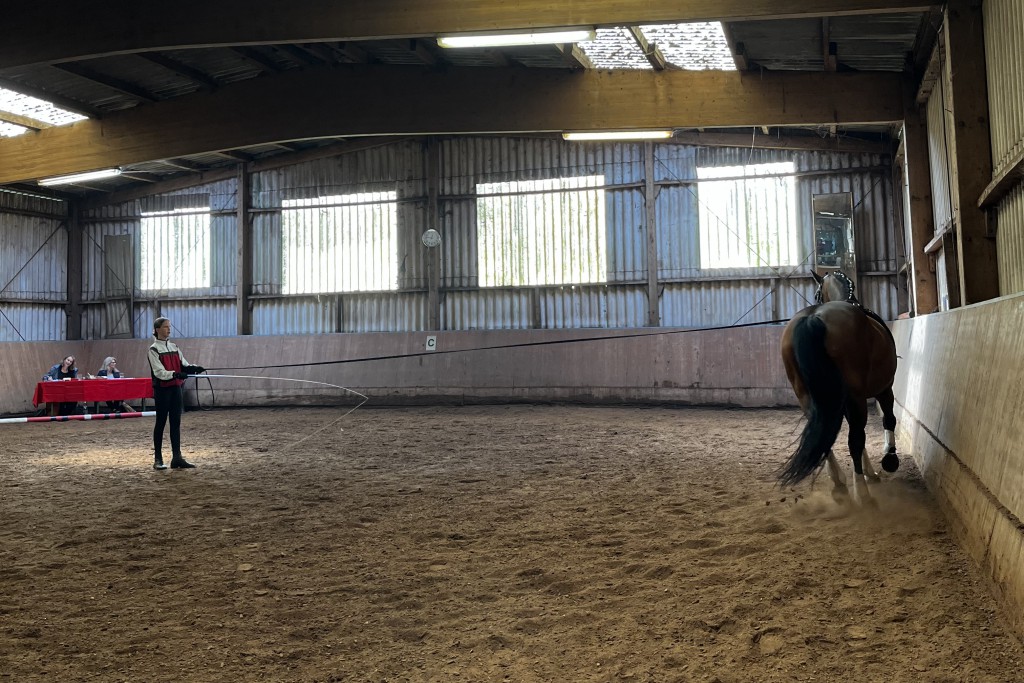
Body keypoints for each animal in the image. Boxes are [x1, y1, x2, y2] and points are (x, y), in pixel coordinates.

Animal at [778, 270, 899, 503]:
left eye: (816, 294)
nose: (815, 300)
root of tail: (813, 317)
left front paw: (871, 471)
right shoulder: (884, 389)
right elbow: (888, 419)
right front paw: (890, 459)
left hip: (809, 398)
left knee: (823, 436)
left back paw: (840, 483)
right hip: (856, 397)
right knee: (856, 439)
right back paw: (862, 495)